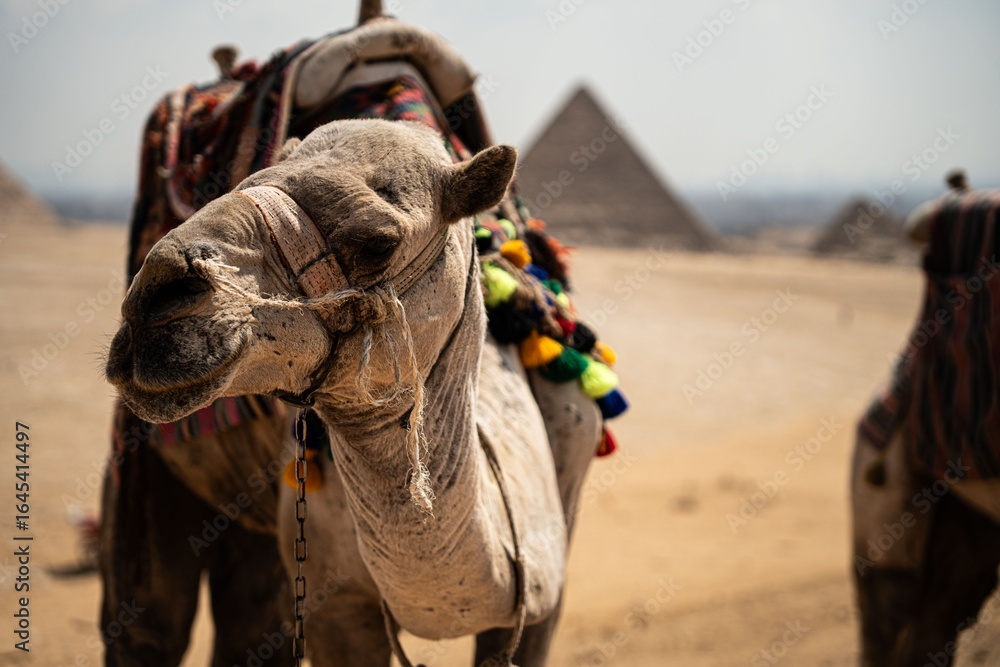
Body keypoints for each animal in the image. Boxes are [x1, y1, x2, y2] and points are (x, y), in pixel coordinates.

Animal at [105, 118, 602, 665]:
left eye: (378, 242)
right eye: (238, 185)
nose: (152, 297)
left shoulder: (544, 596)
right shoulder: (337, 612)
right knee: (152, 625)